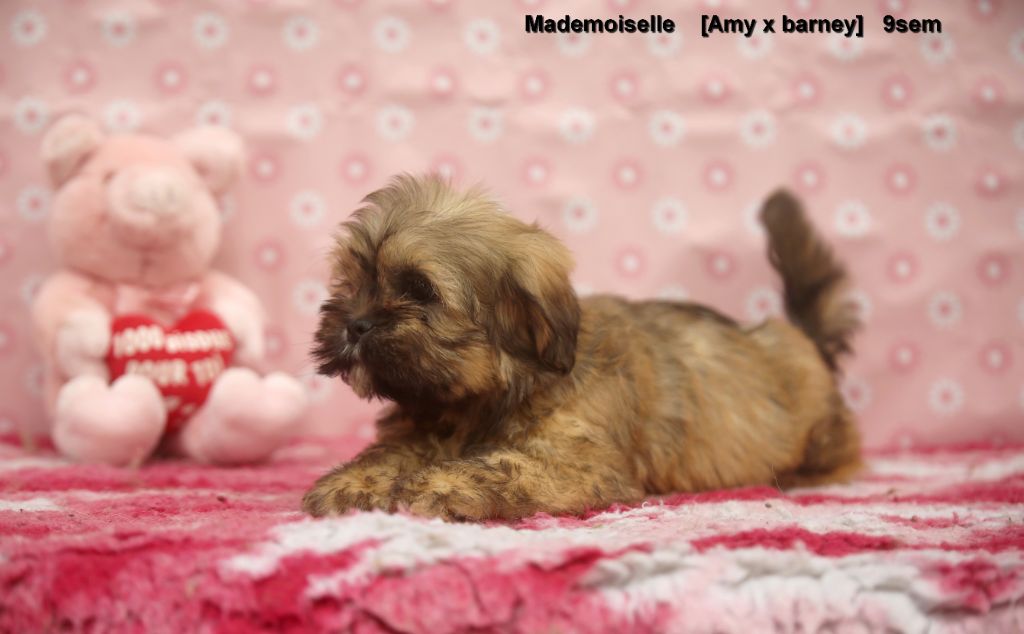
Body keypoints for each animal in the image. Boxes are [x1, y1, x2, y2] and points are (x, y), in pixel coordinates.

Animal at [303, 175, 862, 521]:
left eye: (421, 289)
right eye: (354, 282)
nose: (354, 325)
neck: (485, 397)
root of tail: (806, 342)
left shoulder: (577, 461)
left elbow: (504, 464)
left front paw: (438, 485)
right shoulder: (422, 427)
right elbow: (392, 452)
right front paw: (355, 481)